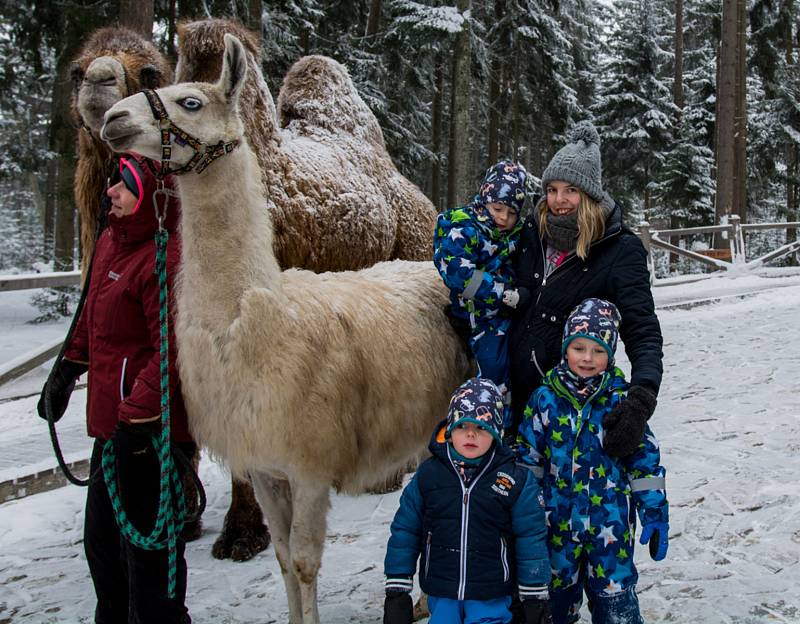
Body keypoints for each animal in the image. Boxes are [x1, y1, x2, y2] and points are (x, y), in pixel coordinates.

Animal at [102, 35, 472, 624]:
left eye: (190, 101)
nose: (112, 120)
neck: (254, 320)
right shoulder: (265, 465)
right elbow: (279, 558)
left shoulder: (310, 463)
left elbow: (302, 562)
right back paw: (421, 600)